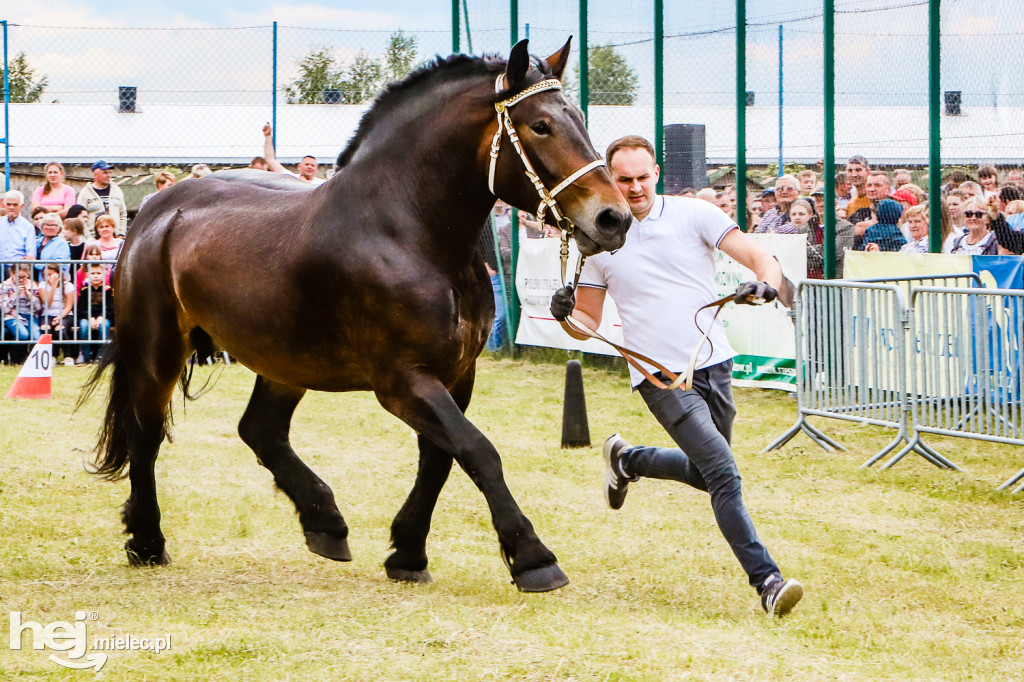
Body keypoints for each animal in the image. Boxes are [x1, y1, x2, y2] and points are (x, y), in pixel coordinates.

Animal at [81, 38, 630, 589]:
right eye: (540, 125)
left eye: (581, 118)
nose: (614, 218)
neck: (407, 232)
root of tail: (153, 213)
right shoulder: (402, 380)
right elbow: (477, 450)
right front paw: (534, 557)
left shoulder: (457, 375)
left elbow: (441, 458)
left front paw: (407, 553)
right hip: (158, 352)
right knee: (146, 435)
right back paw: (147, 540)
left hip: (283, 360)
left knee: (260, 430)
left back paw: (325, 522)